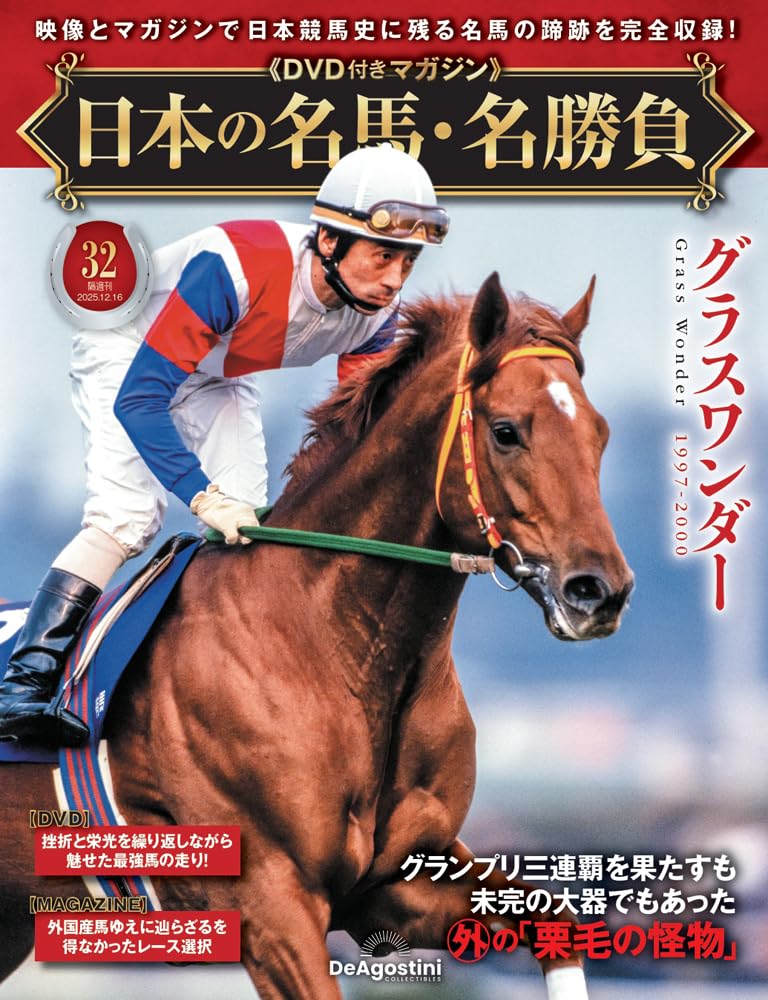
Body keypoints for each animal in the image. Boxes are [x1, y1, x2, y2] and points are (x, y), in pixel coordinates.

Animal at [0, 272, 633, 998]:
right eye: (506, 431)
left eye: (599, 433)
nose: (599, 591)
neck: (337, 652)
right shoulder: (270, 902)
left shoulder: (397, 880)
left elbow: (552, 920)